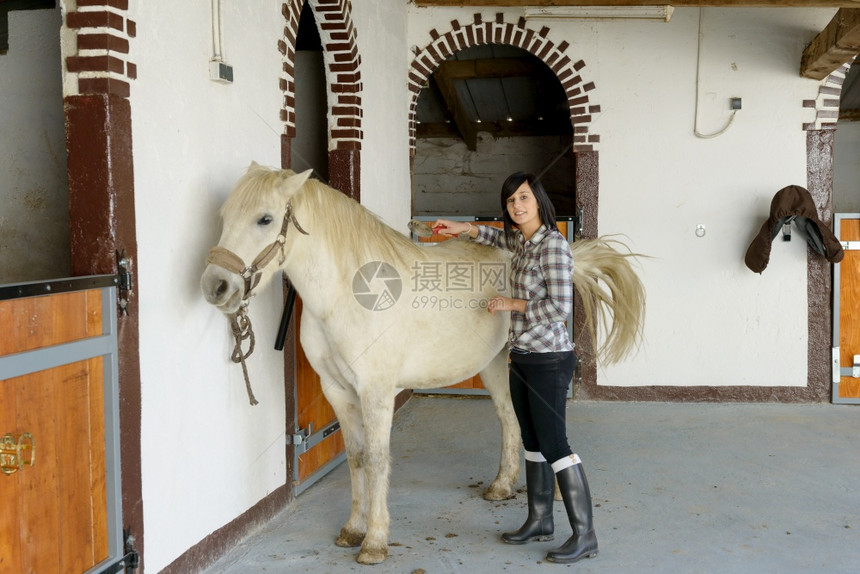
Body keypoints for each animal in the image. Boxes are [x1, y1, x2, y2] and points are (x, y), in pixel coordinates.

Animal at [202, 162, 644, 568]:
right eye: (224, 215)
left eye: (265, 218)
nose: (215, 286)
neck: (347, 297)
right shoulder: (337, 391)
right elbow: (356, 458)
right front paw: (352, 530)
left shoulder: (376, 393)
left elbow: (377, 460)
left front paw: (375, 542)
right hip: (494, 364)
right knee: (509, 418)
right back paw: (501, 486)